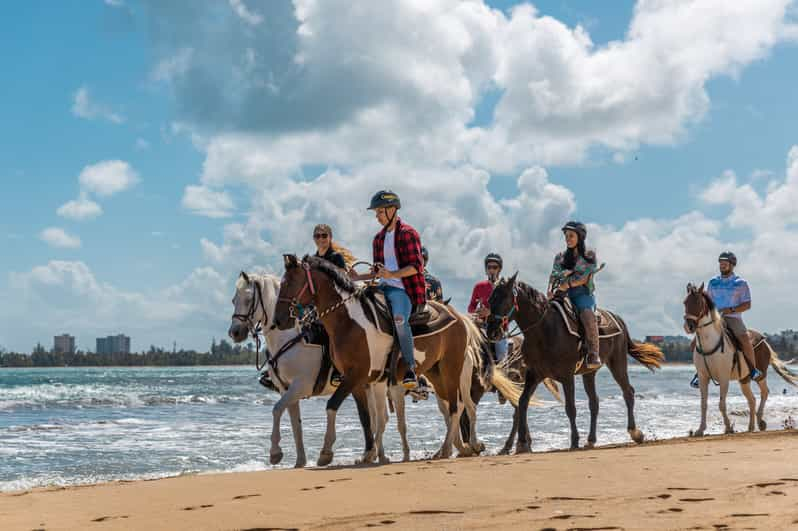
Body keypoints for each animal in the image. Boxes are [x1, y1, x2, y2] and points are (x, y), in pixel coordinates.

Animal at [227, 272, 392, 468]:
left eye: (248, 299)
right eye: (233, 300)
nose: (234, 333)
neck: (289, 336)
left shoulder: (301, 386)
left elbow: (276, 409)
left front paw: (275, 452)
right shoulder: (286, 389)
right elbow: (295, 423)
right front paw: (300, 460)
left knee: (380, 417)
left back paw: (379, 455)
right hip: (366, 385)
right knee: (375, 418)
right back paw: (375, 454)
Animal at [276, 256, 524, 468]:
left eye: (290, 282)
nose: (280, 319)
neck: (349, 322)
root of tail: (459, 318)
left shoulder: (357, 375)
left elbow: (333, 406)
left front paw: (326, 452)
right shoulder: (362, 380)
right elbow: (370, 418)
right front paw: (370, 454)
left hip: (452, 369)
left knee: (457, 407)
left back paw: (449, 449)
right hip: (436, 374)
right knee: (457, 406)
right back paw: (458, 448)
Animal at [488, 274, 668, 454]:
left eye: (504, 298)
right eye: (490, 299)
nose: (491, 331)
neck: (545, 331)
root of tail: (617, 318)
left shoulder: (567, 376)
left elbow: (570, 408)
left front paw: (574, 441)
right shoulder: (534, 374)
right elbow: (522, 402)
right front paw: (522, 443)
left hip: (617, 362)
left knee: (628, 392)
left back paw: (634, 432)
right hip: (589, 372)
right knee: (594, 402)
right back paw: (591, 440)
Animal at [680, 282, 798, 436]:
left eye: (699, 302)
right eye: (685, 302)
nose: (689, 326)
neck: (709, 343)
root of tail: (765, 341)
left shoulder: (724, 377)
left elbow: (721, 404)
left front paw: (729, 427)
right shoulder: (703, 377)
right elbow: (703, 404)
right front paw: (700, 429)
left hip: (760, 375)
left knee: (764, 392)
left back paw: (760, 421)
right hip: (744, 380)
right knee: (752, 400)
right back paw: (751, 426)